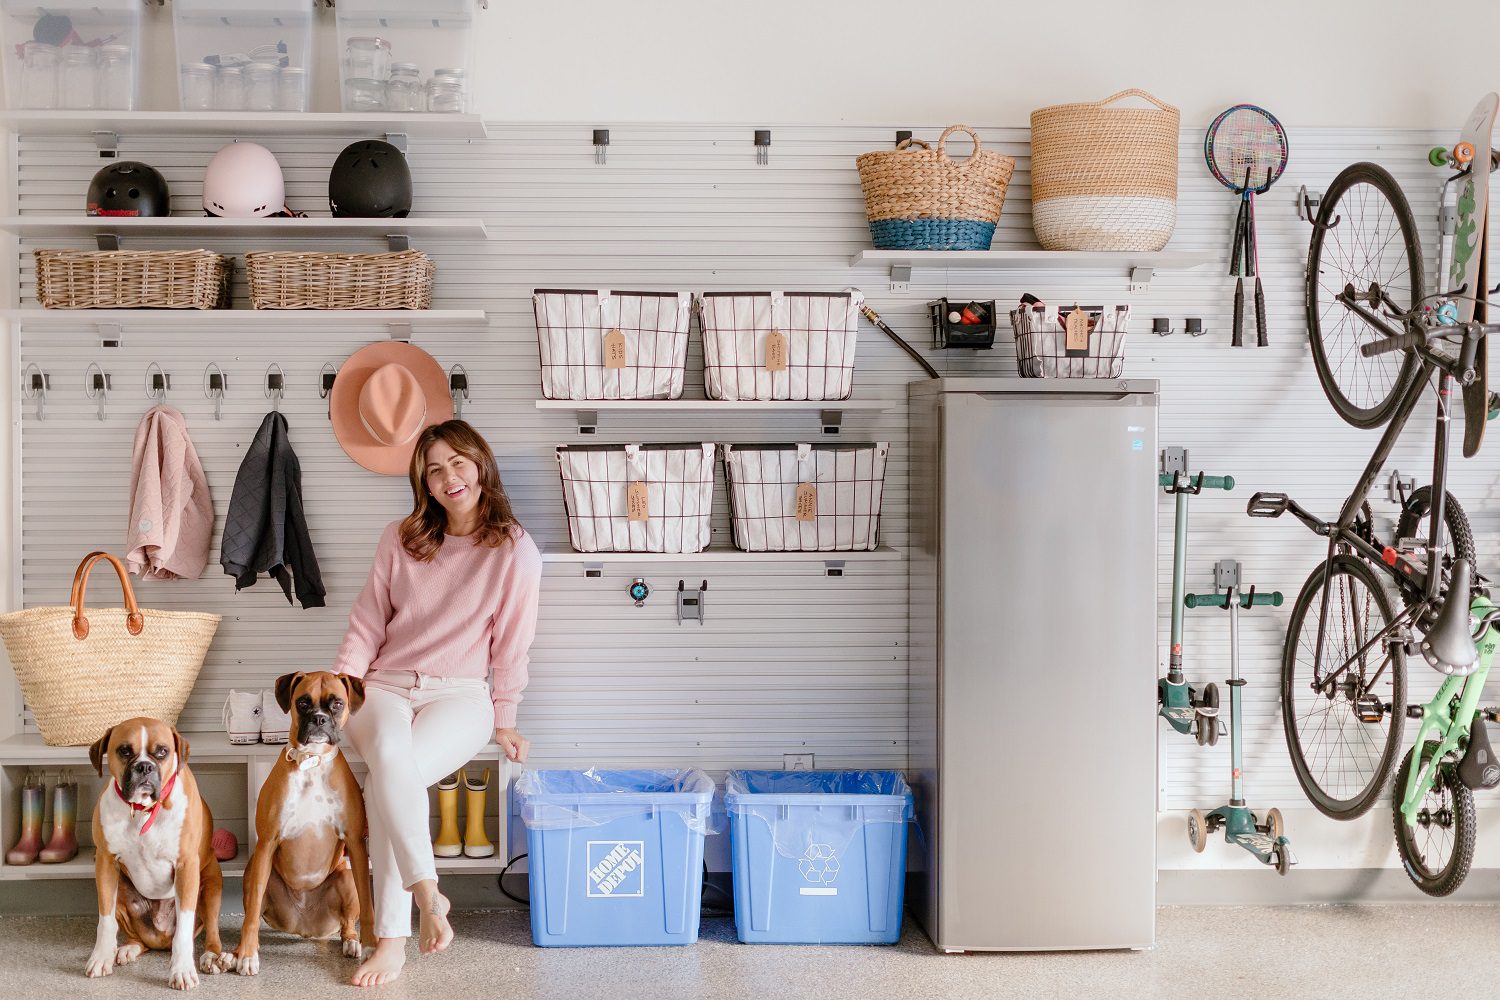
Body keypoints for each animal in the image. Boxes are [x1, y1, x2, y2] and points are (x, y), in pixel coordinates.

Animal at [85, 716, 229, 989]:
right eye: (124, 751)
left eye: (162, 751)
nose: (144, 767)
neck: (144, 810)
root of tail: (160, 940)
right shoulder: (105, 864)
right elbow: (105, 921)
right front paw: (100, 957)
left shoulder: (186, 867)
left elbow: (184, 930)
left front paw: (182, 969)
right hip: (121, 888)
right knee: (137, 938)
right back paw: (127, 949)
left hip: (210, 885)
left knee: (212, 932)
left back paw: (212, 957)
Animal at [235, 668, 378, 971]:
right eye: (302, 702)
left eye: (337, 703)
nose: (319, 718)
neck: (311, 761)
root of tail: (305, 926)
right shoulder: (267, 843)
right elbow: (251, 914)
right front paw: (247, 955)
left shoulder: (357, 845)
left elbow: (369, 907)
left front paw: (373, 946)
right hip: (254, 869)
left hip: (345, 875)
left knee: (348, 923)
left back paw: (352, 942)